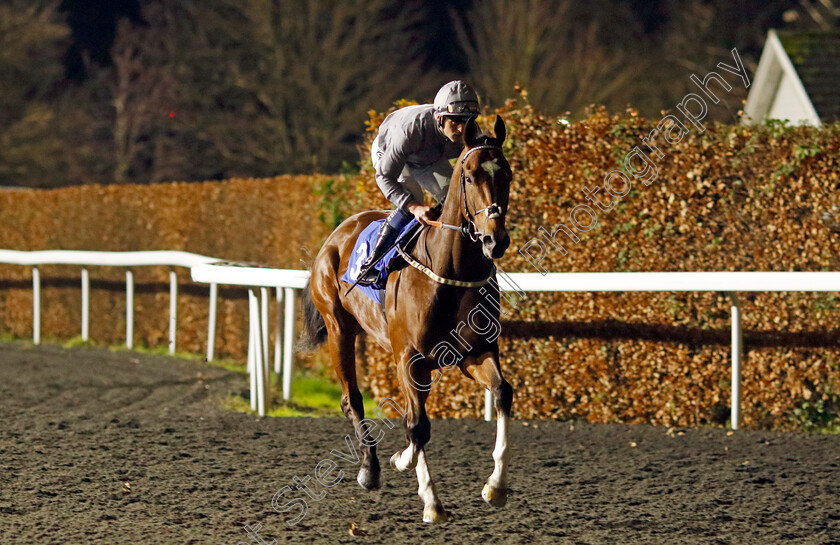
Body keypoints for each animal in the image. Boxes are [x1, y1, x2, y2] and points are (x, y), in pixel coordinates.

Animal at [302, 115, 512, 524]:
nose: (495, 240)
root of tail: (337, 233)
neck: (450, 271)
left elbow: (501, 393)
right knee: (352, 398)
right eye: (469, 176)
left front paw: (495, 486)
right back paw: (369, 470)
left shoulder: (474, 353)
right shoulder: (409, 358)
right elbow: (417, 425)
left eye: (507, 174)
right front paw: (428, 497)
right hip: (339, 329)